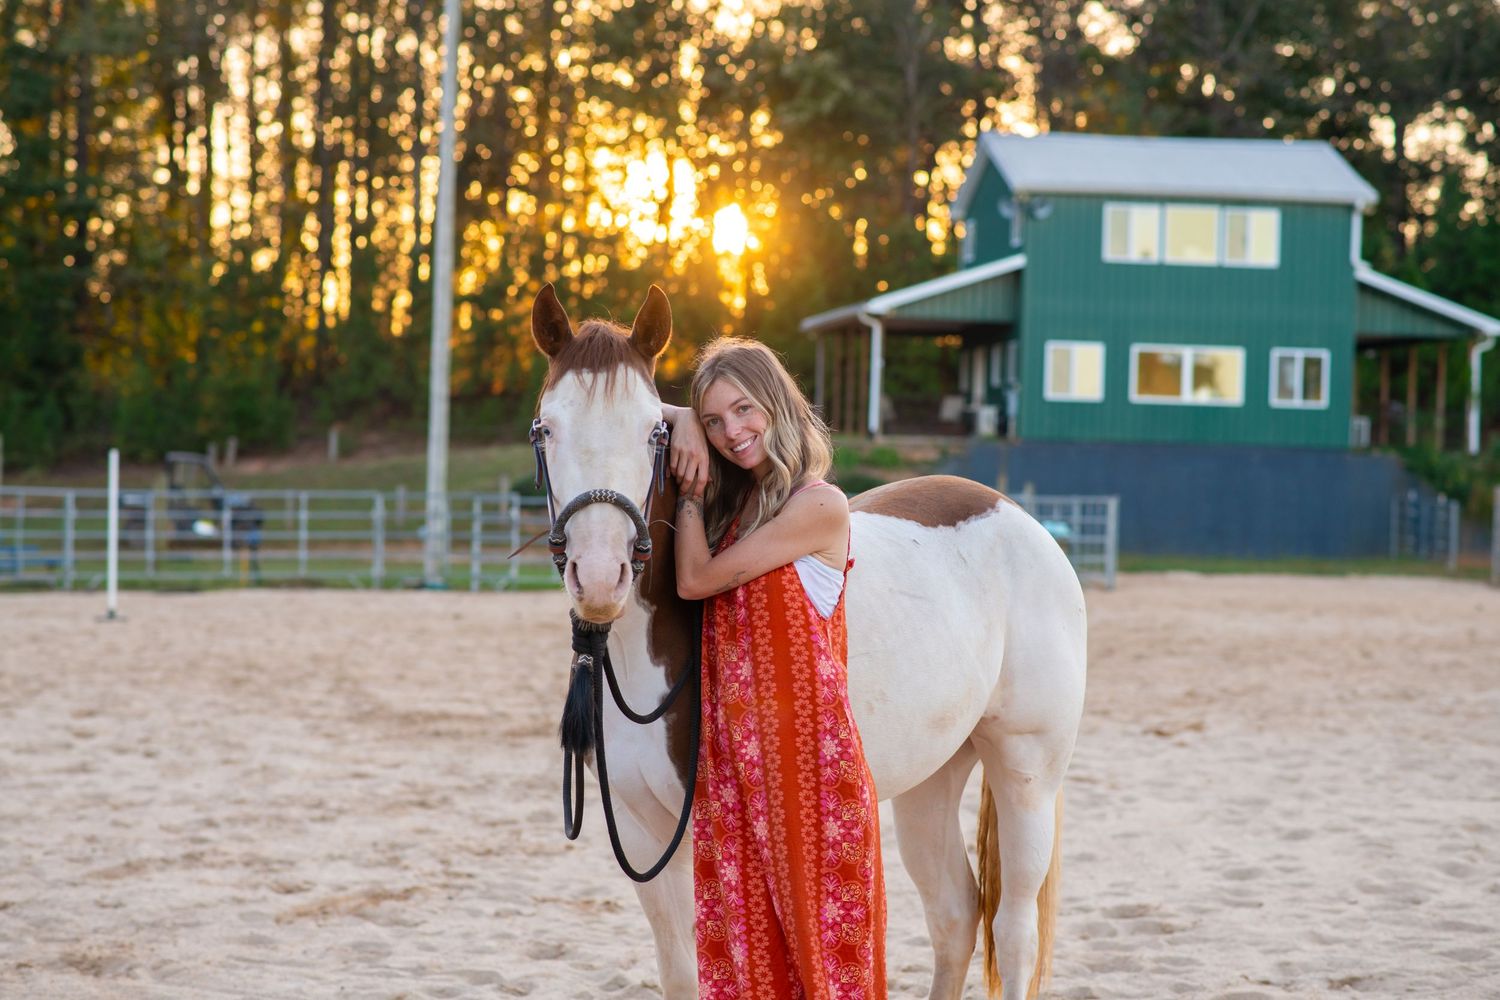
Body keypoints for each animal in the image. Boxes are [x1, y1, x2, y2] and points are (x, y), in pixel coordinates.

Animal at [528, 282, 1087, 1000]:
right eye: (545, 428)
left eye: (654, 431)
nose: (600, 576)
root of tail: (1019, 517)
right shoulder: (641, 833)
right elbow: (680, 973)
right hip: (931, 778)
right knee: (956, 914)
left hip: (1026, 773)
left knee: (1012, 929)